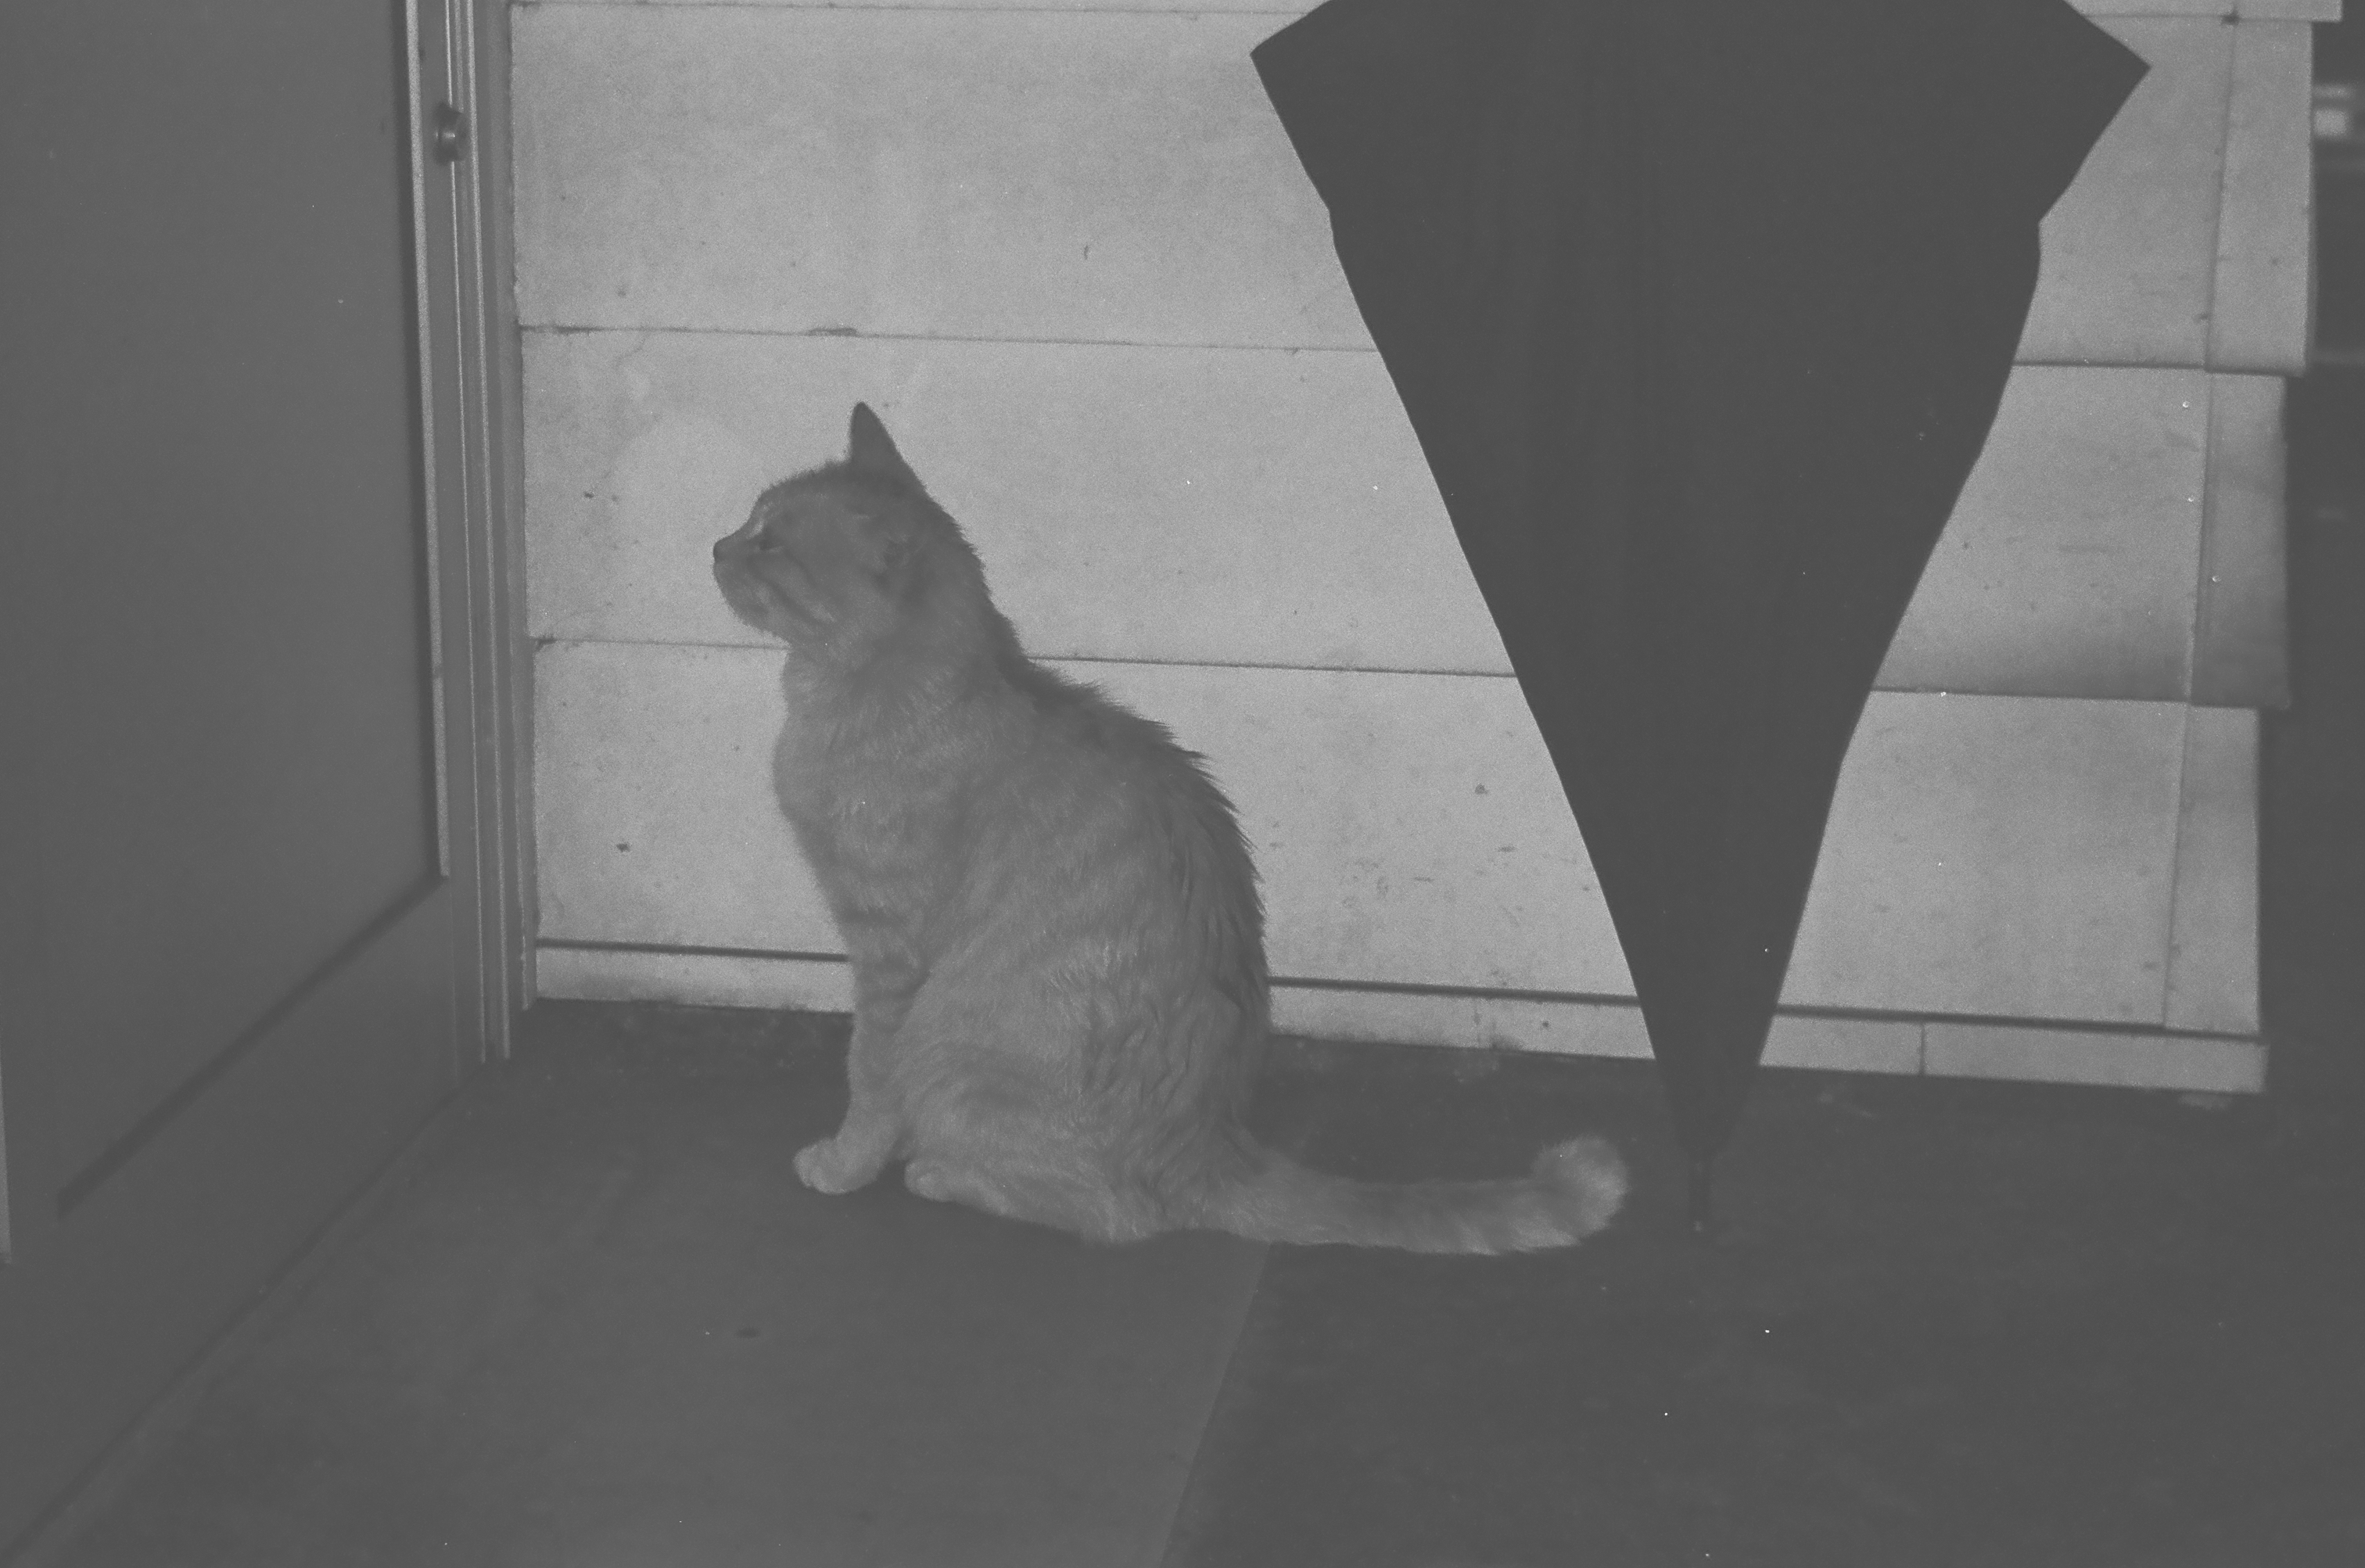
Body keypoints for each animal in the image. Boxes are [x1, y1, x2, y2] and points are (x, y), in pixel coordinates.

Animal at [710, 403, 1627, 1251]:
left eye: (772, 545)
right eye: (751, 521)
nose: (717, 546)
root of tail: (1212, 1145)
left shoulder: (885, 952)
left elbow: (867, 1073)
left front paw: (843, 1162)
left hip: (953, 1052)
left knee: (1117, 1218)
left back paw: (941, 1172)